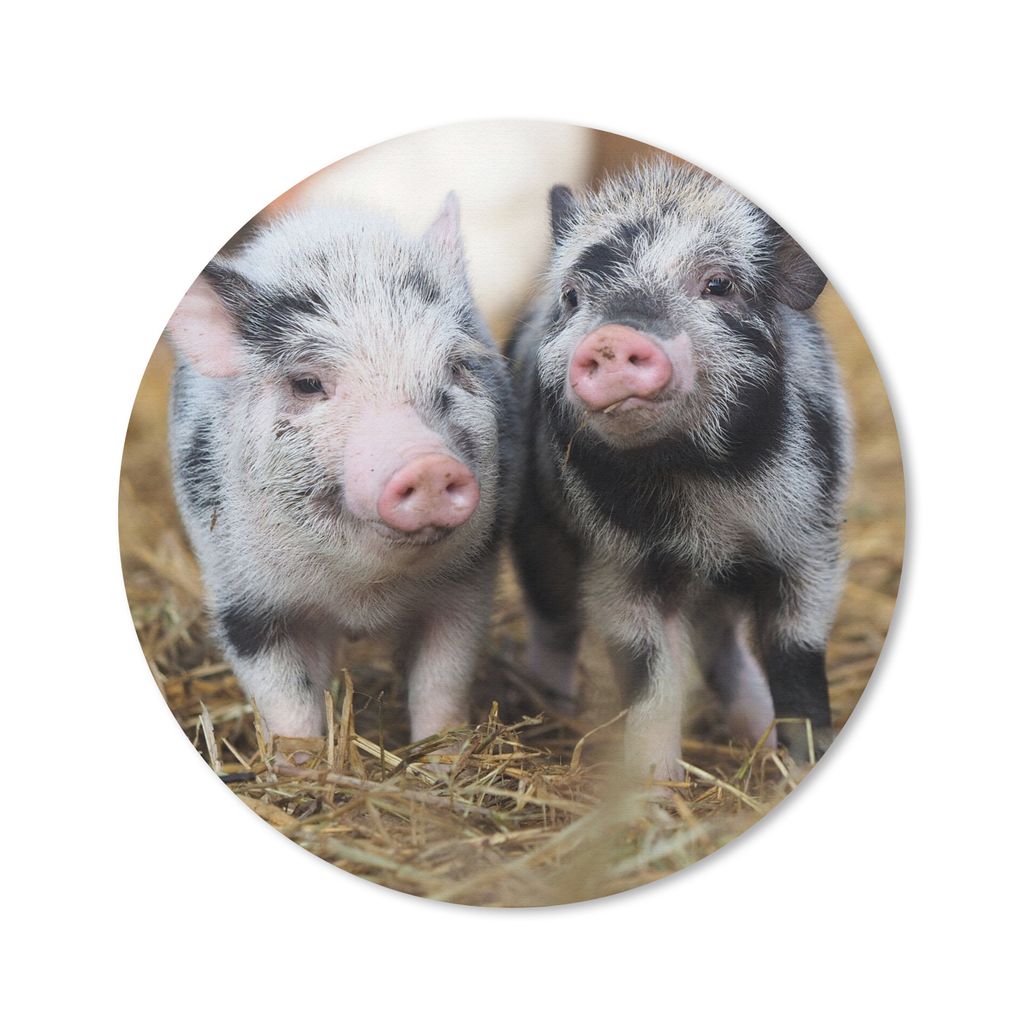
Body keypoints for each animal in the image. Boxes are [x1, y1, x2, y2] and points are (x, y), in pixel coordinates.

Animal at [165, 196, 520, 754]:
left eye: (458, 367)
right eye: (307, 384)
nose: (428, 463)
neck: (363, 595)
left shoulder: (468, 583)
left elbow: (442, 680)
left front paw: (442, 755)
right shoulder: (240, 596)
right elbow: (286, 701)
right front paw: (302, 763)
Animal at [510, 161, 851, 780]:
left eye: (717, 285)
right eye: (572, 295)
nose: (613, 336)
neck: (699, 483)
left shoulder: (808, 545)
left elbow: (797, 658)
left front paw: (800, 763)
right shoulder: (619, 564)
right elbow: (650, 678)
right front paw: (653, 785)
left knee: (725, 650)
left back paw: (758, 741)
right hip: (536, 533)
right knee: (553, 622)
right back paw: (555, 708)